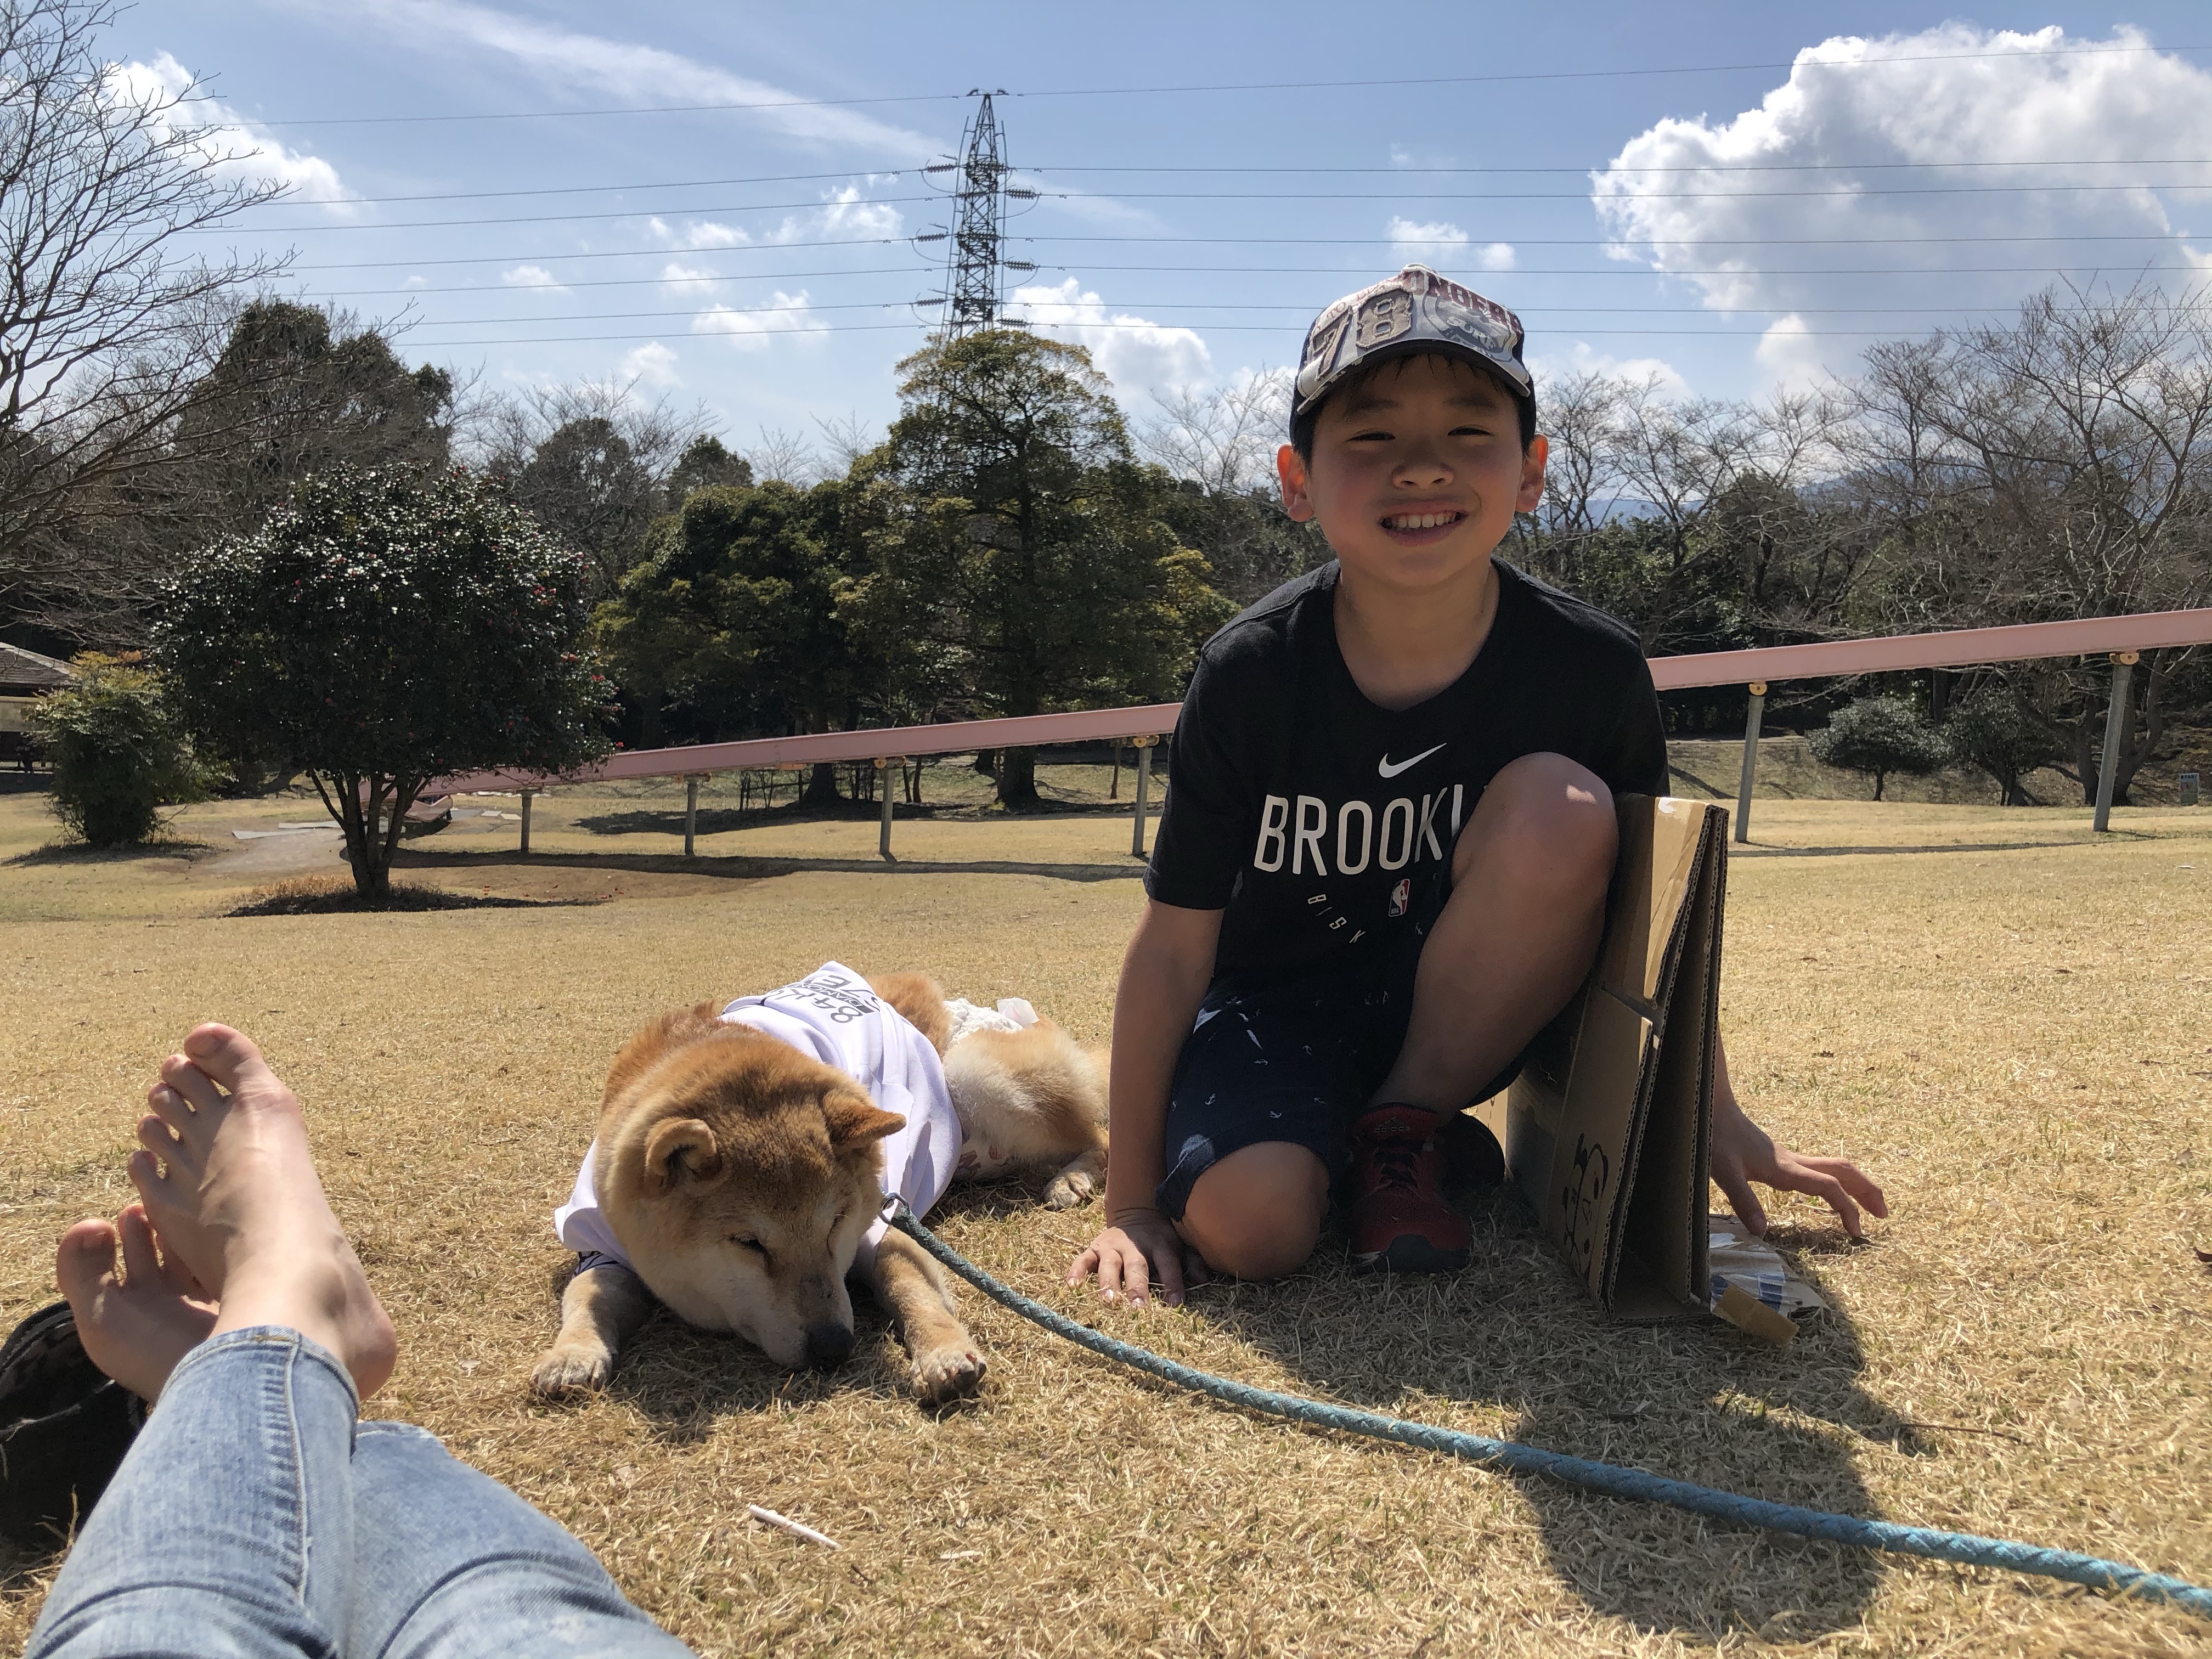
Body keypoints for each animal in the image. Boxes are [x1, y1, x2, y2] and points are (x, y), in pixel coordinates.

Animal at [530, 964, 1107, 1405]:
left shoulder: (884, 1220)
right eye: (749, 1243)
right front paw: (571, 1354)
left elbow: (910, 1285)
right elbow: (587, 1295)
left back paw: (1072, 1178)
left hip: (975, 1072)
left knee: (1098, 1133)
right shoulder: (601, 1240)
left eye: (836, 1225)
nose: (834, 1348)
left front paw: (942, 1353)